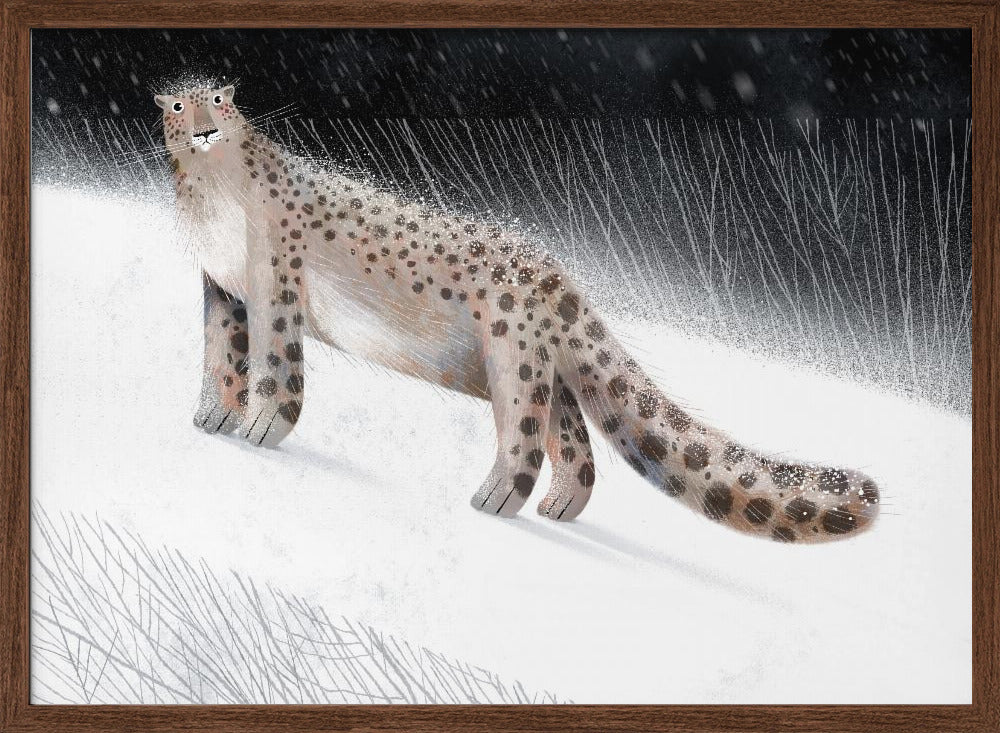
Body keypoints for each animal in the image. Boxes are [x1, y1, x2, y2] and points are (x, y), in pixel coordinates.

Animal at [155, 83, 880, 543]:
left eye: (221, 100)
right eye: (178, 104)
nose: (205, 127)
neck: (212, 201)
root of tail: (561, 277)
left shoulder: (274, 284)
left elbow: (275, 364)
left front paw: (258, 427)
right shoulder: (223, 288)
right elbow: (221, 354)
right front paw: (212, 415)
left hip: (513, 355)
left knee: (526, 434)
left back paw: (494, 498)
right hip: (545, 369)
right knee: (576, 442)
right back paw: (559, 505)